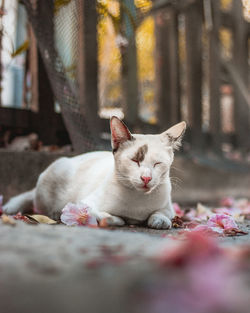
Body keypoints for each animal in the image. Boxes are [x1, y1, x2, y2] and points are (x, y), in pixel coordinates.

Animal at [3, 116, 186, 228]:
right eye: (135, 160)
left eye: (157, 163)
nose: (146, 178)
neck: (138, 202)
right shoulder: (84, 205)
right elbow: (111, 217)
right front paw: (122, 219)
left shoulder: (168, 207)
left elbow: (163, 214)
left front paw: (159, 220)